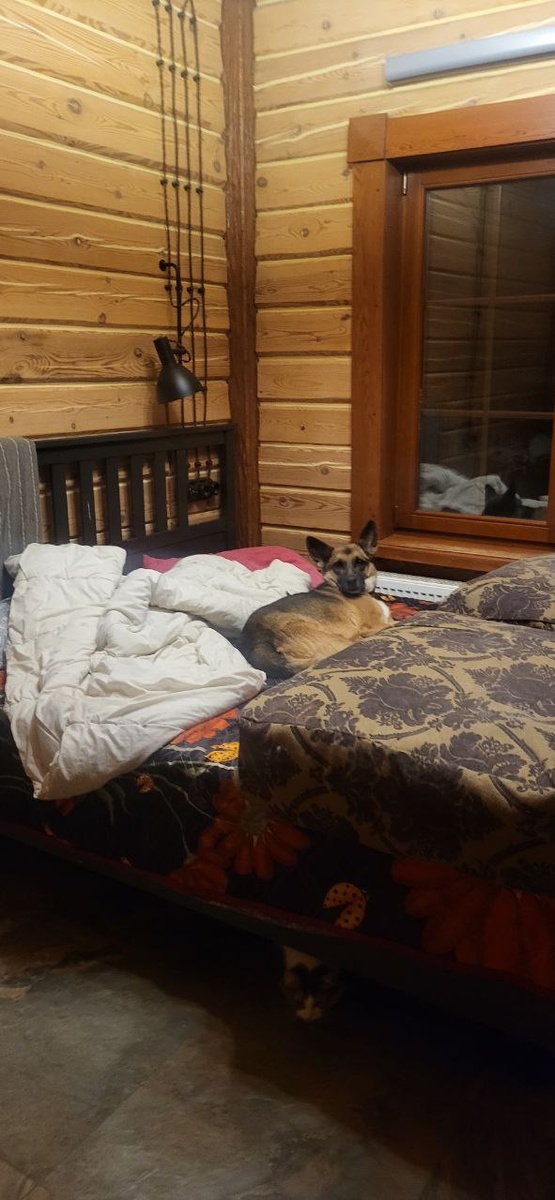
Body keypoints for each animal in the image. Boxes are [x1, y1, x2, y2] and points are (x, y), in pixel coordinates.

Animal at [238, 520, 392, 679]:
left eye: (360, 562)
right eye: (337, 566)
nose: (351, 581)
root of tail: (256, 646)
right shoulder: (372, 625)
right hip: (338, 641)